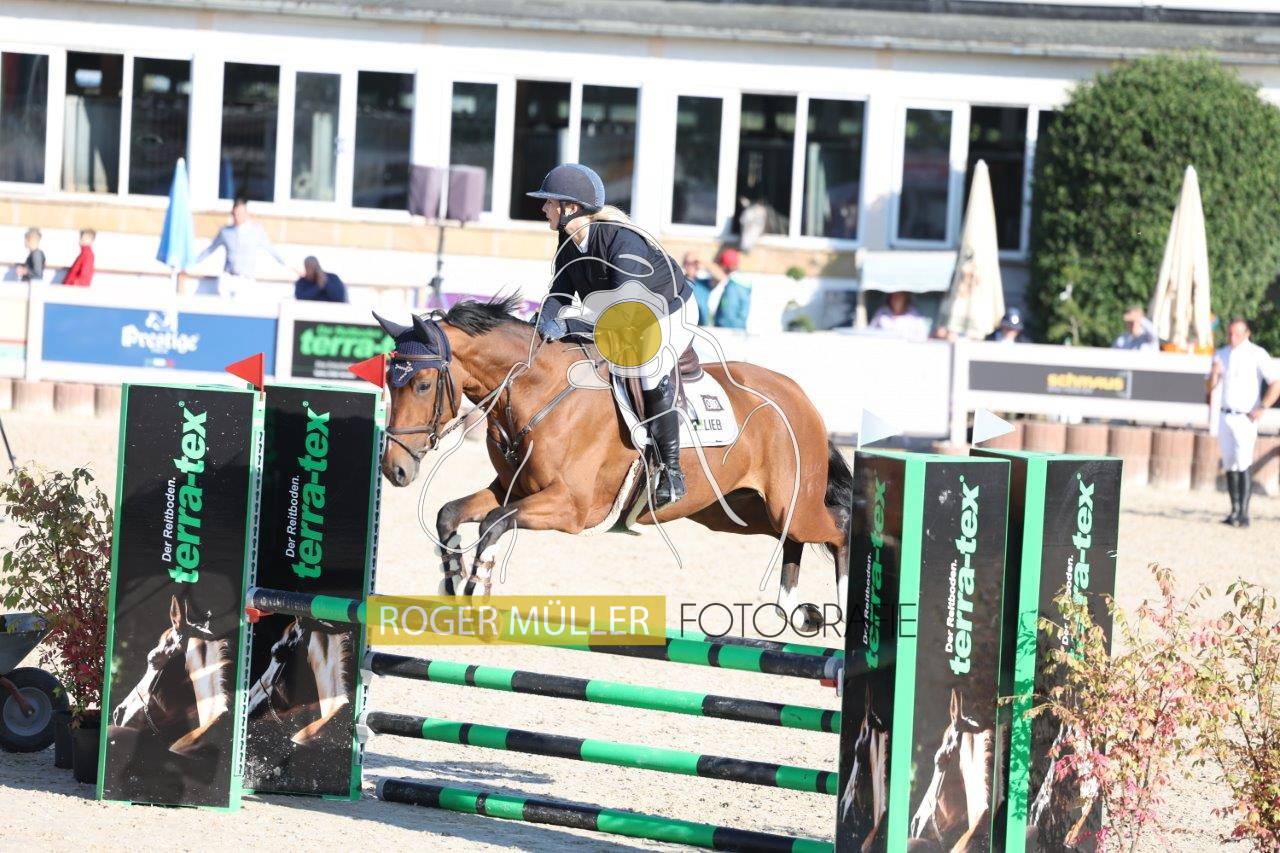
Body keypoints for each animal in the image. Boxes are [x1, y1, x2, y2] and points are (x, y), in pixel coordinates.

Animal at [375, 295, 853, 631]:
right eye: (390, 382)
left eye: (421, 384)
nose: (394, 469)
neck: (539, 391)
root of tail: (799, 395)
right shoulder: (514, 489)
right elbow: (450, 513)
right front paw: (453, 578)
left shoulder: (570, 507)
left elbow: (494, 522)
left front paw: (479, 585)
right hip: (735, 511)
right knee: (792, 540)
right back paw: (795, 609)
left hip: (788, 504)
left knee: (838, 528)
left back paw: (841, 609)